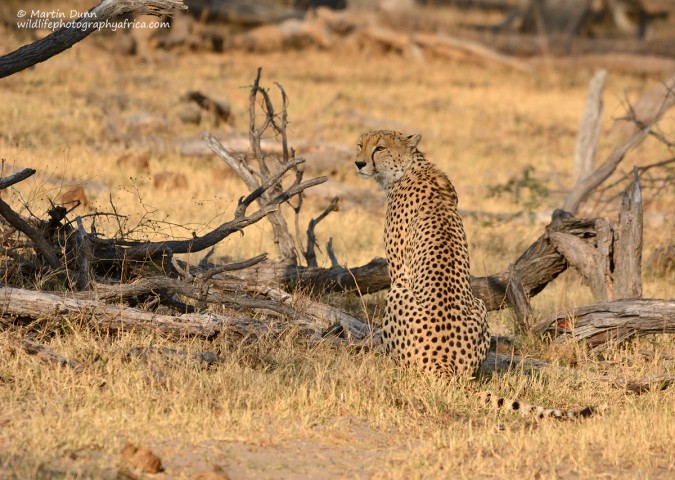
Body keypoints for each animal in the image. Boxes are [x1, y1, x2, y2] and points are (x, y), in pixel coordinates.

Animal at [356, 129, 596, 418]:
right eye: (360, 144)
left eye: (379, 148)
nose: (358, 163)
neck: (410, 168)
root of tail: (444, 365)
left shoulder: (399, 271)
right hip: (479, 305)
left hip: (398, 294)